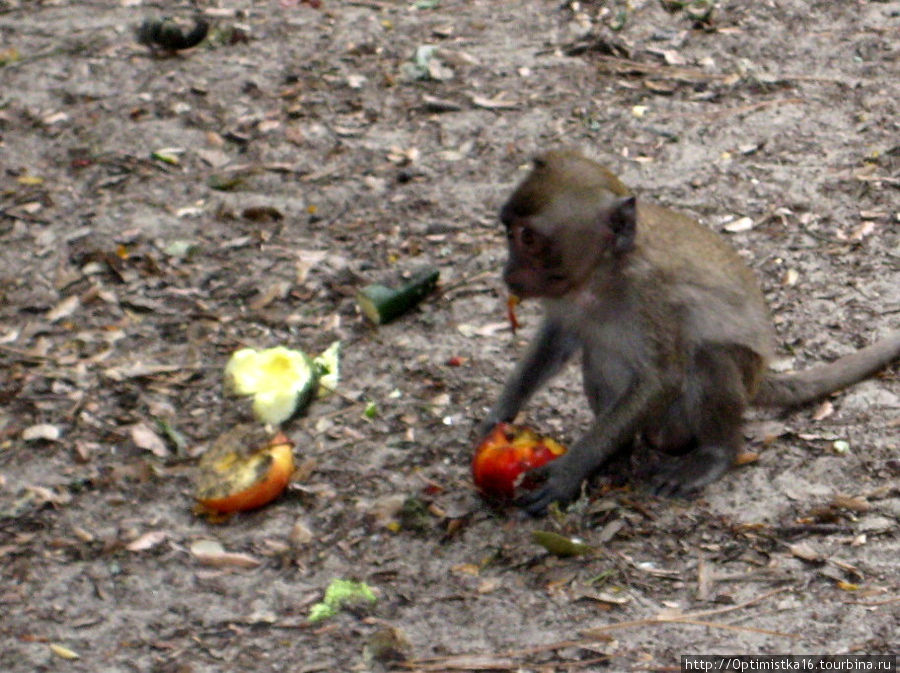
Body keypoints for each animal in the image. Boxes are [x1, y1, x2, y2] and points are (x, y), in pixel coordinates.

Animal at [486, 148, 900, 516]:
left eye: (528, 238)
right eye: (508, 231)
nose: (508, 272)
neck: (601, 274)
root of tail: (759, 378)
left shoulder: (650, 292)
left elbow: (662, 378)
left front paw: (569, 471)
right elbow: (556, 341)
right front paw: (498, 418)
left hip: (707, 400)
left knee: (708, 358)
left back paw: (715, 454)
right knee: (599, 353)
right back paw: (618, 454)